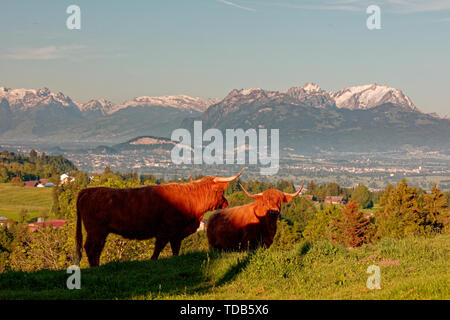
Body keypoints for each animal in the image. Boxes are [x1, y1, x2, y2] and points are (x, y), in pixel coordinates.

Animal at [75, 169, 244, 266]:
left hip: (101, 232)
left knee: (96, 249)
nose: (226, 203)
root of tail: (87, 191)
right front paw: (153, 260)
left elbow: (175, 249)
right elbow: (159, 248)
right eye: (220, 191)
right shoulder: (167, 230)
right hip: (96, 230)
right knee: (91, 248)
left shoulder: (177, 234)